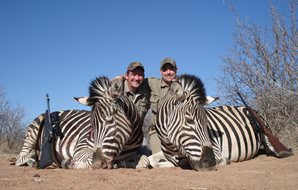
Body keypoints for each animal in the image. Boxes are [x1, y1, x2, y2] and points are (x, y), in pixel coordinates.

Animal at [15, 76, 143, 169]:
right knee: (21, 158)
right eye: (92, 125)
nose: (98, 164)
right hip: (32, 133)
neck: (126, 144)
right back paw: (33, 162)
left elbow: (142, 161)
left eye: (110, 120)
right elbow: (85, 160)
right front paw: (68, 163)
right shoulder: (81, 147)